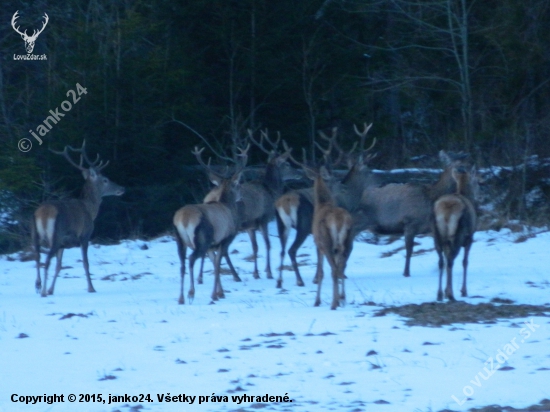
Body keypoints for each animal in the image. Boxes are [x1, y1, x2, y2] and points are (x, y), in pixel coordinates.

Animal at [33, 141, 126, 296]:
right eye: (105, 180)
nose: (122, 188)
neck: (90, 209)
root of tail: (43, 214)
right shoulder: (85, 235)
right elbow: (85, 262)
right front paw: (91, 288)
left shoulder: (64, 243)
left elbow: (59, 266)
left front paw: (52, 289)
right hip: (56, 234)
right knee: (46, 260)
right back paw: (43, 291)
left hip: (35, 234)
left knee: (37, 257)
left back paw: (38, 285)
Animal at [174, 146, 249, 304]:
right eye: (238, 185)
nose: (241, 196)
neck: (228, 206)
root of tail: (184, 219)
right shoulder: (224, 240)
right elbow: (218, 264)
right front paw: (215, 294)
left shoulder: (211, 246)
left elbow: (214, 263)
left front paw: (221, 293)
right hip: (202, 238)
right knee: (191, 259)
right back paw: (191, 293)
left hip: (179, 239)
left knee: (182, 264)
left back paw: (181, 298)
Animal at [278, 124, 378, 288]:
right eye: (370, 171)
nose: (379, 182)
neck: (350, 199)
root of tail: (286, 202)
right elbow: (344, 250)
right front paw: (340, 274)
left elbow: (321, 252)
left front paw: (317, 277)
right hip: (303, 226)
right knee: (292, 250)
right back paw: (300, 280)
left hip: (283, 225)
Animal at [356, 150, 476, 278]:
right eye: (453, 165)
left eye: (465, 164)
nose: (462, 170)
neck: (430, 199)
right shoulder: (410, 222)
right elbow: (409, 250)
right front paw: (406, 273)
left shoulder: (432, 228)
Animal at [436, 166, 478, 300]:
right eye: (475, 182)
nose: (478, 196)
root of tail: (447, 208)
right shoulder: (470, 238)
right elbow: (465, 262)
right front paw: (464, 291)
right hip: (458, 234)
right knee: (451, 260)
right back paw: (450, 294)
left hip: (437, 234)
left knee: (441, 261)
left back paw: (439, 294)